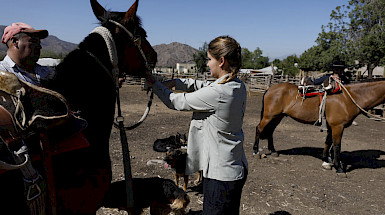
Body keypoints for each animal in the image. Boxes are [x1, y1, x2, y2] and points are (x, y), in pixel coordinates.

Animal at [252, 80, 384, 174]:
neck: (347, 98)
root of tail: (270, 88)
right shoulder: (338, 126)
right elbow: (336, 146)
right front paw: (338, 168)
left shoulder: (331, 126)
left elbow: (328, 142)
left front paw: (326, 160)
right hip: (269, 116)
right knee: (259, 129)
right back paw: (256, 151)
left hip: (277, 117)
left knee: (270, 131)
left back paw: (273, 151)